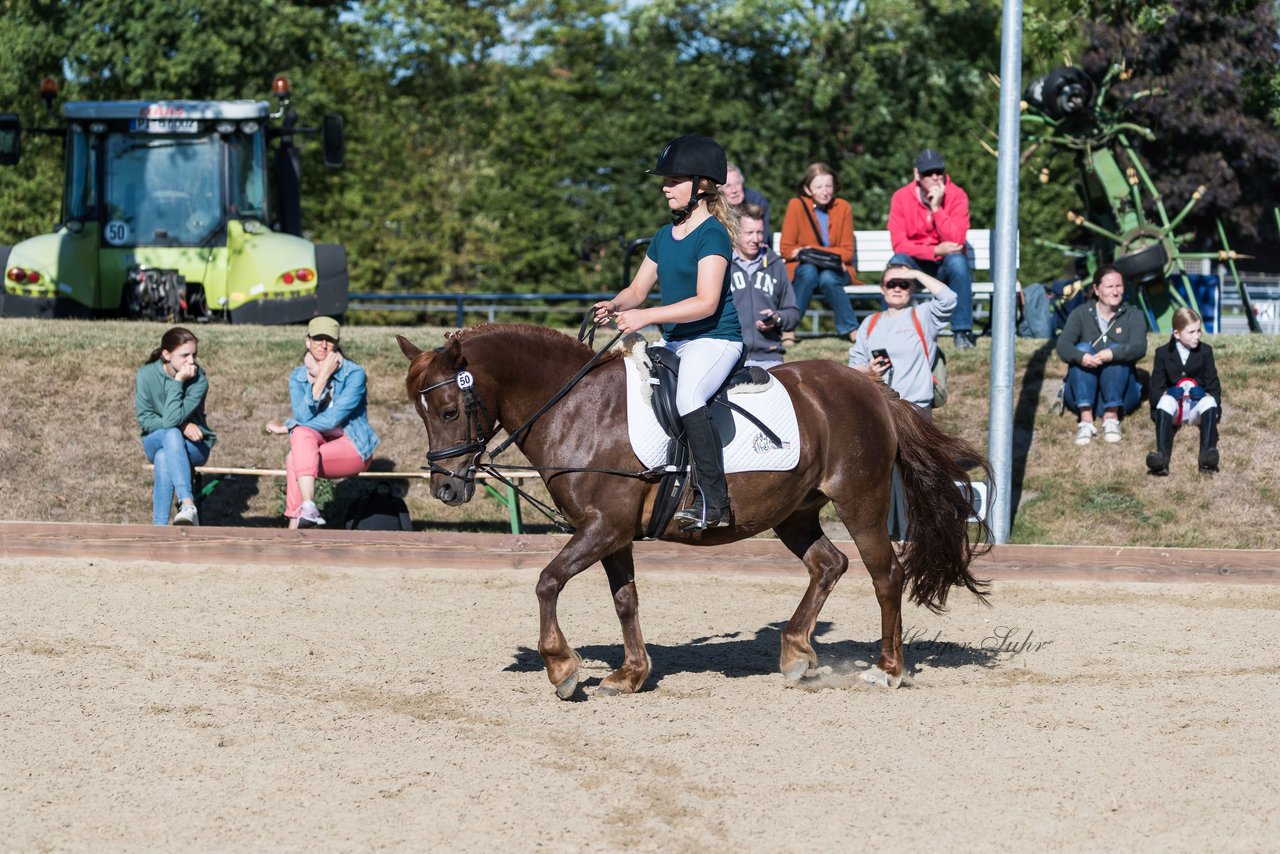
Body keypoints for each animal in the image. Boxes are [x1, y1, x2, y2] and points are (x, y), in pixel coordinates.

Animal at [399, 323, 988, 696]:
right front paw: (630, 675)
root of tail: (869, 385)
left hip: (860, 501)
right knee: (828, 565)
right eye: (422, 414)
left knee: (885, 575)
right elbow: (625, 600)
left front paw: (562, 669)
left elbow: (547, 581)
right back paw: (797, 654)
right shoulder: (611, 532)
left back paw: (887, 669)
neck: (576, 408)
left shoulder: (603, 527)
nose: (445, 490)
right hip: (793, 511)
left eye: (448, 410)